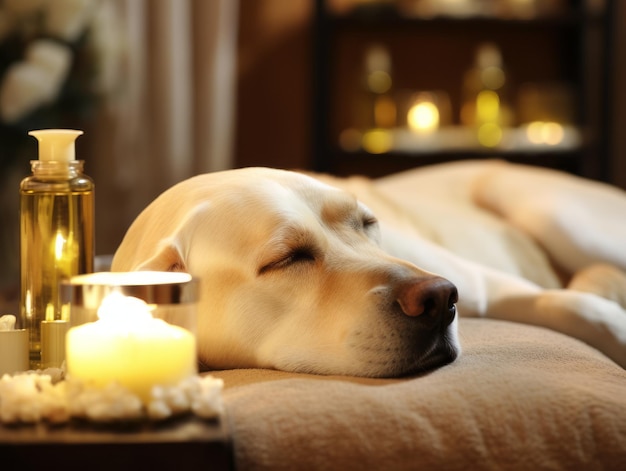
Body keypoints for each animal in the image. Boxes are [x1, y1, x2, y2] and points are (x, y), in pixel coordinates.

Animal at [112, 160, 624, 374]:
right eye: (286, 259)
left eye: (368, 223)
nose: (440, 298)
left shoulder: (489, 284)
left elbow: (582, 307)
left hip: (554, 213)